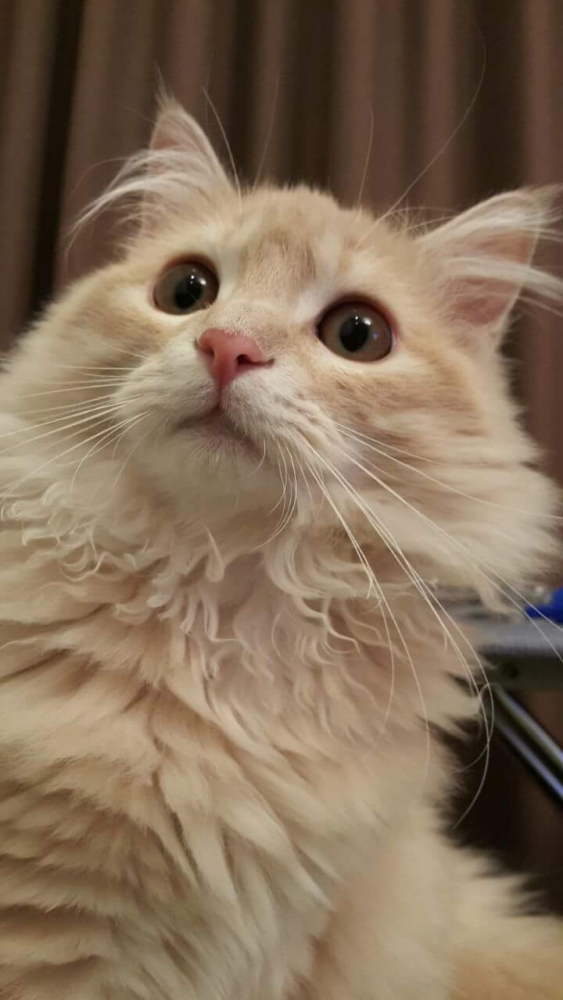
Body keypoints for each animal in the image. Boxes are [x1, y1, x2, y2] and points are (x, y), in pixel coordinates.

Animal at [0, 95, 562, 1000]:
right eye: (187, 289)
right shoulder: (50, 935)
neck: (220, 599)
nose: (227, 346)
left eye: (357, 333)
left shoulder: (294, 931)